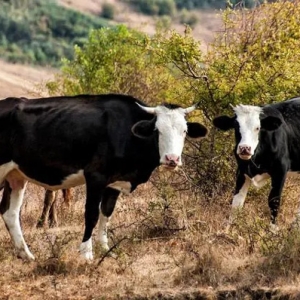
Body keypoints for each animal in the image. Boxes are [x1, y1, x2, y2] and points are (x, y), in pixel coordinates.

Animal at [0, 94, 207, 260]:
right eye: (157, 130)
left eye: (184, 131)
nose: (172, 159)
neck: (125, 131)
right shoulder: (95, 177)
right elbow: (91, 214)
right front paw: (86, 254)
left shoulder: (114, 183)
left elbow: (106, 214)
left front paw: (106, 249)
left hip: (16, 176)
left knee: (10, 213)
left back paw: (26, 254)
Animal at [212, 97, 300, 229]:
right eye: (236, 126)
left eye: (258, 128)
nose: (244, 148)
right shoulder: (241, 171)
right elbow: (236, 203)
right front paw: (227, 230)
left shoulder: (280, 170)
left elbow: (274, 201)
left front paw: (272, 230)